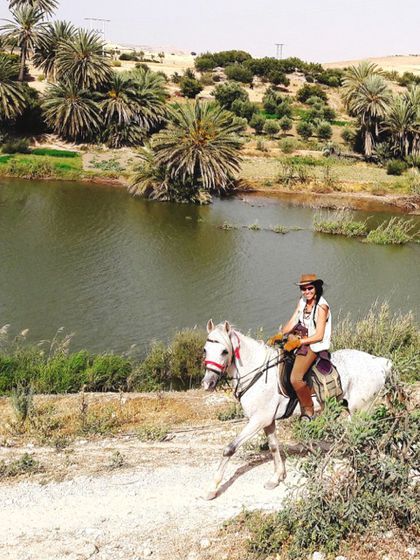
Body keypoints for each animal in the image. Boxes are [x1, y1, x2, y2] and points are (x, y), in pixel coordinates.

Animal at [202, 322, 392, 500]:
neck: (258, 373)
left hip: (361, 410)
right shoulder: (268, 420)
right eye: (205, 350)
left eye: (224, 351)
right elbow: (273, 447)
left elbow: (230, 448)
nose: (207, 383)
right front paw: (276, 478)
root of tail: (378, 362)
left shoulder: (258, 419)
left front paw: (212, 488)